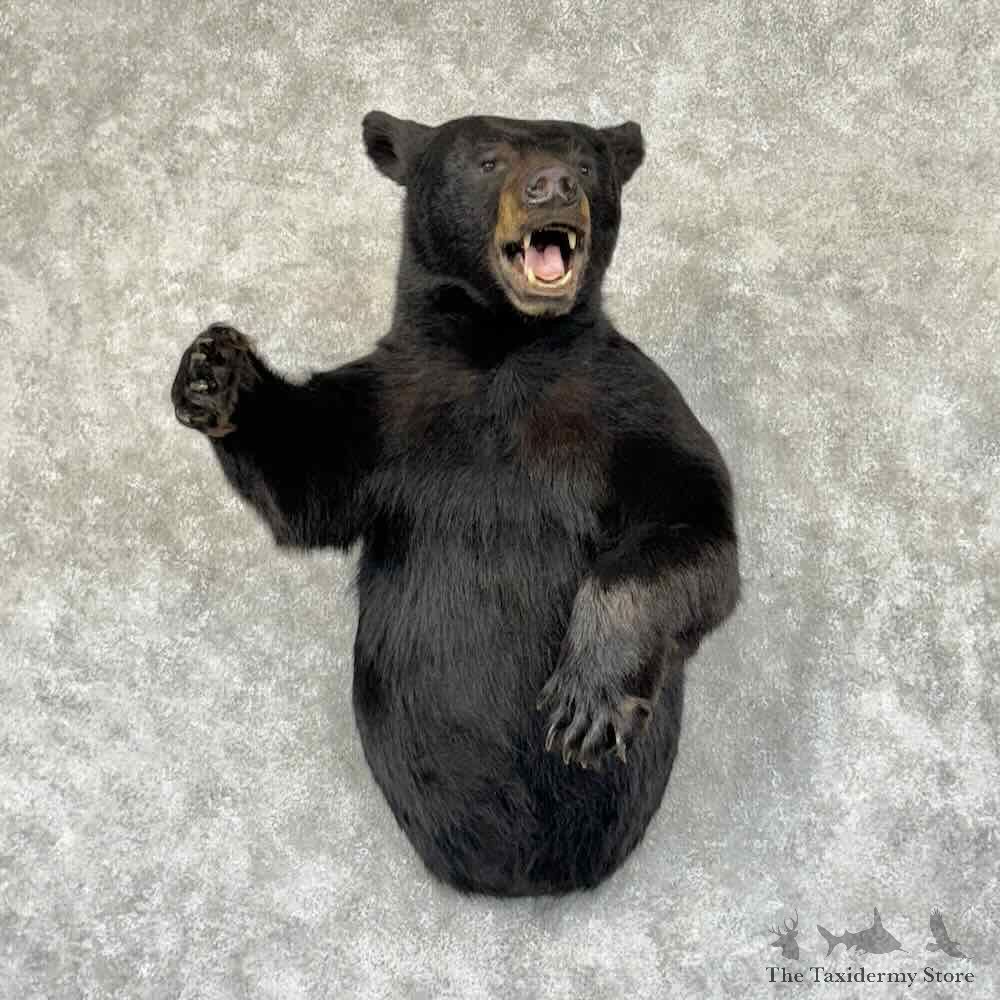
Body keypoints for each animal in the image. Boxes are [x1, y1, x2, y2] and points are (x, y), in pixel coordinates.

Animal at [171, 111, 740, 896]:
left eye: (583, 161)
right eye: (488, 158)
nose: (552, 185)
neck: (501, 347)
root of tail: (528, 877)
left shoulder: (630, 405)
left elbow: (692, 525)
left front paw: (587, 700)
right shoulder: (390, 406)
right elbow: (307, 482)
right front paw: (215, 369)